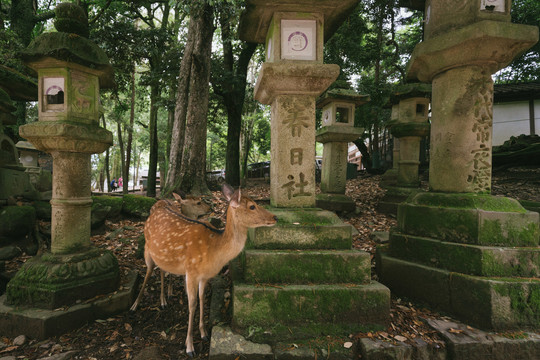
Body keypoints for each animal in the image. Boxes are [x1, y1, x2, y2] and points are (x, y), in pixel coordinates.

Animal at [129, 184, 276, 356]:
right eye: (252, 206)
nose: (275, 217)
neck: (214, 252)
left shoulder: (205, 276)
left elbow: (201, 298)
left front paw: (204, 333)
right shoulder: (191, 272)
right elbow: (192, 304)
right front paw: (189, 347)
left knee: (162, 270)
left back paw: (164, 300)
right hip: (147, 251)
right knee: (148, 272)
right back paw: (134, 306)